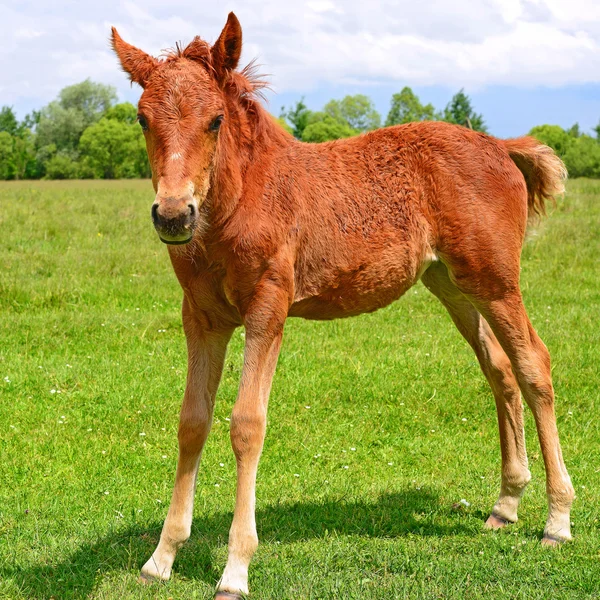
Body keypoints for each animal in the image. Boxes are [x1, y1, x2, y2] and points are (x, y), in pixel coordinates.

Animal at [110, 11, 576, 596]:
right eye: (142, 118)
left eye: (215, 120)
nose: (174, 215)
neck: (241, 202)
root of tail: (499, 144)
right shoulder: (201, 318)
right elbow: (192, 422)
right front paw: (162, 556)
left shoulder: (267, 310)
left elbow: (246, 425)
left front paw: (235, 569)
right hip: (451, 283)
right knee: (500, 368)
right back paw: (507, 503)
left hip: (495, 281)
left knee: (534, 364)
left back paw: (558, 520)